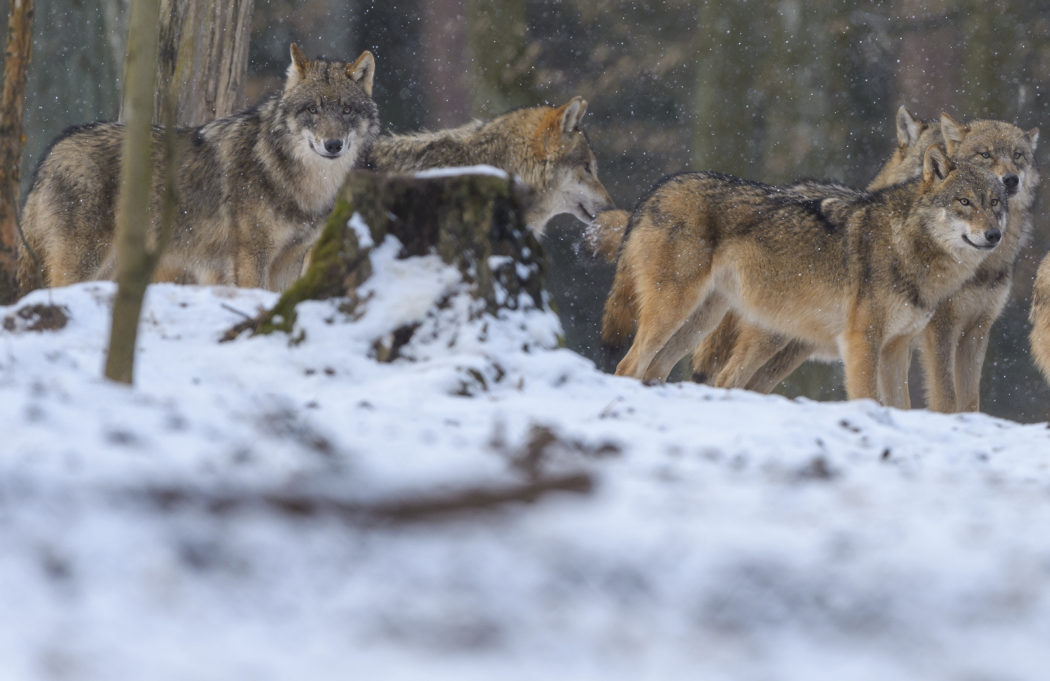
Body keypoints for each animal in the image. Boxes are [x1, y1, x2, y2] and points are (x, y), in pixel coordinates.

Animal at [18, 44, 379, 293]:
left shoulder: (291, 260)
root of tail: (52, 151)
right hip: (83, 264)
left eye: (346, 110)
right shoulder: (252, 256)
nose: (333, 145)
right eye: (313, 110)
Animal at [606, 145, 1007, 408]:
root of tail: (656, 191)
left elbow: (901, 405)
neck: (908, 244)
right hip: (678, 311)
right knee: (628, 365)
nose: (994, 235)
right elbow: (868, 398)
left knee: (663, 370)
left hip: (704, 323)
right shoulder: (862, 342)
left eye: (995, 204)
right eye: (964, 202)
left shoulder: (897, 348)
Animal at [918, 114, 1039, 412]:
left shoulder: (979, 327)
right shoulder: (940, 328)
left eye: (1017, 155)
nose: (1010, 179)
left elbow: (971, 398)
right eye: (985, 154)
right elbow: (946, 396)